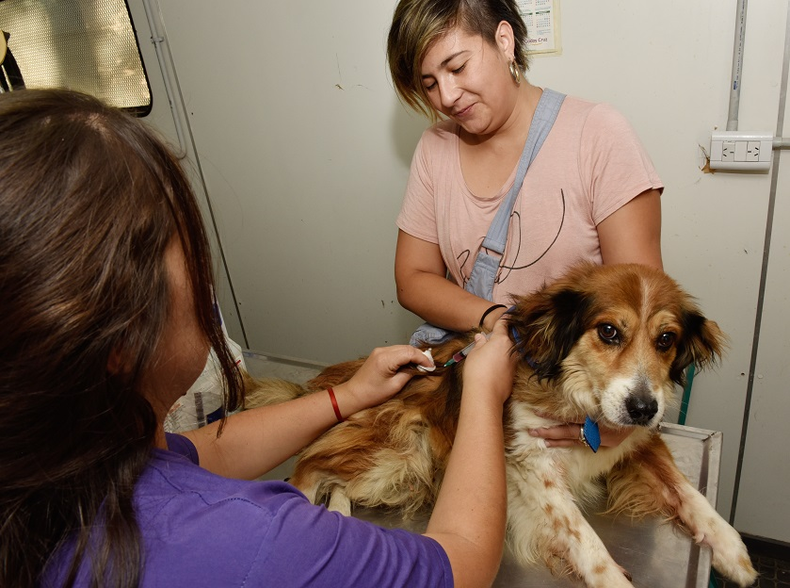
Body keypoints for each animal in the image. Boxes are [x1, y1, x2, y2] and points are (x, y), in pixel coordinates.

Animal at [248, 266, 760, 588]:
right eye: (609, 331)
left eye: (666, 339)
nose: (642, 407)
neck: (580, 404)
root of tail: (340, 379)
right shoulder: (532, 461)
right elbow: (582, 534)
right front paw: (613, 579)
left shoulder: (635, 442)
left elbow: (688, 492)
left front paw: (731, 549)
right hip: (397, 446)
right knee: (310, 465)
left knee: (336, 480)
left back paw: (337, 513)